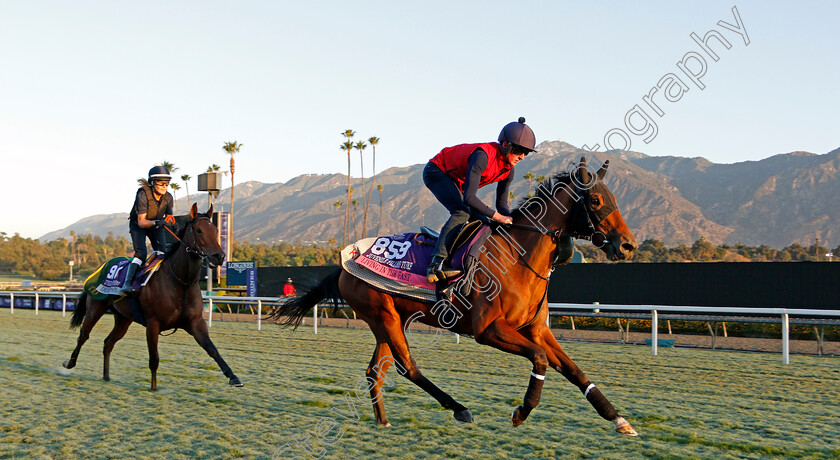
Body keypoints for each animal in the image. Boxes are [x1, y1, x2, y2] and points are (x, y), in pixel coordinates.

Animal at [60, 203, 240, 390]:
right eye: (198, 230)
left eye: (215, 230)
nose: (219, 256)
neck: (181, 282)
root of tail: (101, 268)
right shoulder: (153, 324)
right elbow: (154, 358)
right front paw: (154, 387)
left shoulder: (195, 322)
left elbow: (212, 349)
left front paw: (233, 377)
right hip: (95, 309)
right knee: (83, 335)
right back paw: (69, 363)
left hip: (123, 319)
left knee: (108, 343)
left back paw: (106, 376)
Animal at [272, 157, 640, 434]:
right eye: (595, 200)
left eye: (615, 198)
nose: (628, 245)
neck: (518, 257)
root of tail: (346, 262)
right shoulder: (488, 329)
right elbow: (540, 359)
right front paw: (522, 411)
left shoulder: (537, 329)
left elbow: (574, 370)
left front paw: (618, 419)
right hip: (383, 316)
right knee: (407, 367)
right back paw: (458, 408)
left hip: (390, 320)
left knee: (376, 370)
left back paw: (384, 421)